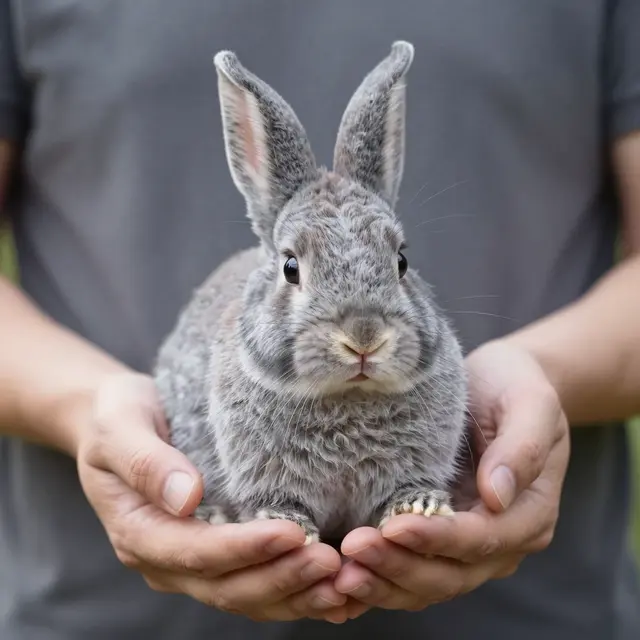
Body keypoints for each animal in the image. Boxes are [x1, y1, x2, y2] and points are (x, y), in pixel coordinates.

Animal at [152, 40, 468, 545]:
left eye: (401, 261)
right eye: (291, 267)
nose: (364, 337)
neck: (348, 397)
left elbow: (403, 488)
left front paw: (419, 506)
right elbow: (279, 501)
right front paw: (286, 524)